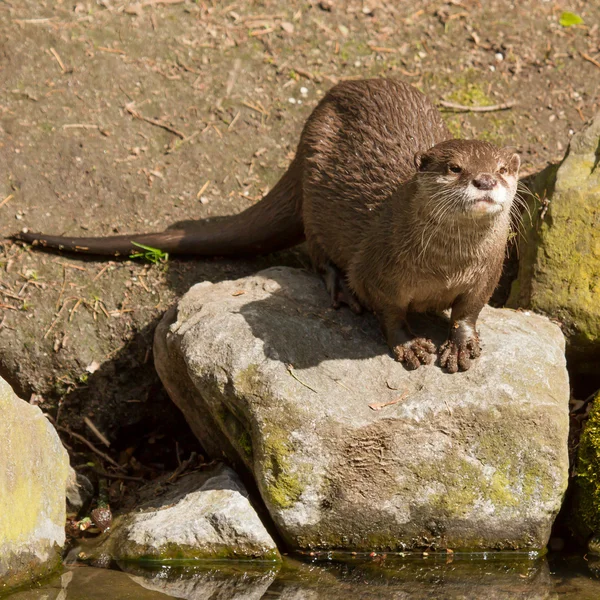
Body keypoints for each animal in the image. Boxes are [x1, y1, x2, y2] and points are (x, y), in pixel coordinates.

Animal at [14, 78, 520, 372]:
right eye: (454, 167)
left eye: (504, 167)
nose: (485, 179)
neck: (442, 267)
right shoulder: (377, 268)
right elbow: (389, 310)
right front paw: (410, 345)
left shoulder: (486, 274)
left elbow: (469, 311)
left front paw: (461, 345)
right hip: (314, 194)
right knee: (318, 251)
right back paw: (339, 290)